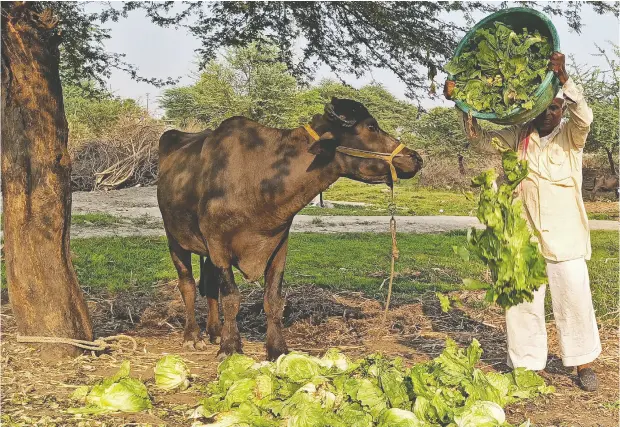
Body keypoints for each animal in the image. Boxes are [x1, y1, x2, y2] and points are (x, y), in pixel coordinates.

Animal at [157, 98, 424, 360]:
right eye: (371, 127)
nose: (416, 158)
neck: (259, 180)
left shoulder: (278, 245)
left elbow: (273, 299)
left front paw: (277, 349)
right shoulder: (218, 245)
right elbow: (231, 297)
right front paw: (230, 347)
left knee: (210, 287)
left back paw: (213, 331)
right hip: (174, 239)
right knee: (187, 285)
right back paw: (193, 335)